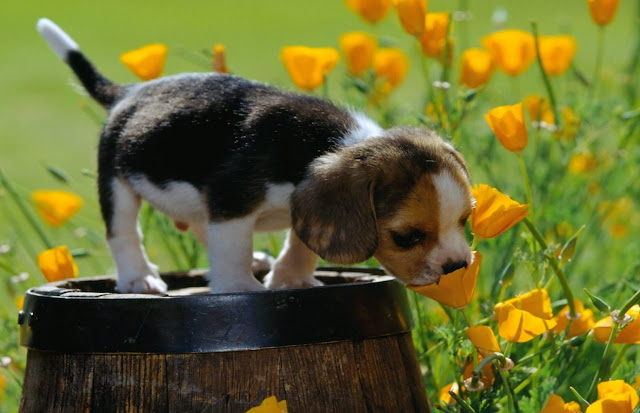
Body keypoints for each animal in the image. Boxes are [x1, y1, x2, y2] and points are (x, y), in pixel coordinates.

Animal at [37, 18, 472, 292]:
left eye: (465, 220)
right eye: (406, 237)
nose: (457, 268)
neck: (333, 144)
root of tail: (127, 93)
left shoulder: (302, 208)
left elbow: (300, 243)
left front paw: (291, 278)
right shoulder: (232, 201)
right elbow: (232, 251)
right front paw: (240, 287)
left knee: (200, 225)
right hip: (117, 181)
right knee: (124, 232)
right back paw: (138, 279)